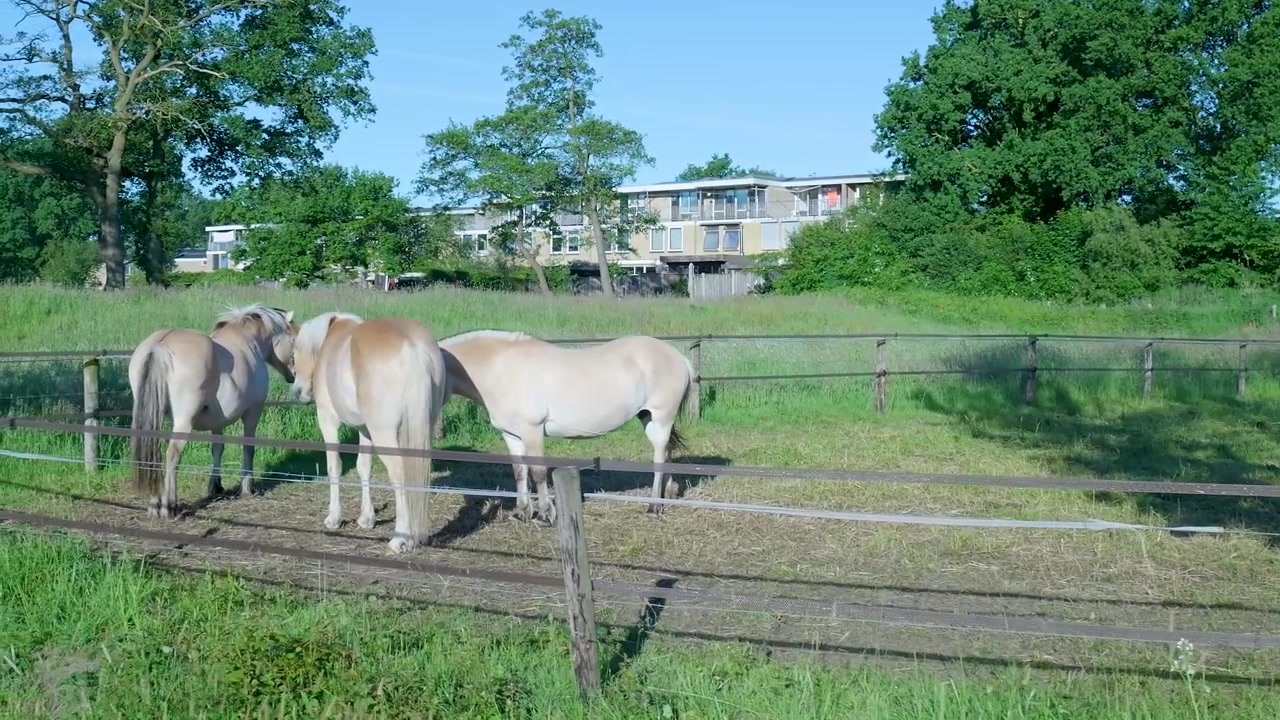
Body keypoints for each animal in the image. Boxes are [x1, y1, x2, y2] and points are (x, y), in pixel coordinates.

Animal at [129, 304, 299, 520]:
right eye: (294, 340)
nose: (295, 376)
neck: (248, 343)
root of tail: (158, 346)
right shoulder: (252, 413)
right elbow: (248, 448)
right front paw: (247, 488)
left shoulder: (217, 421)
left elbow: (217, 448)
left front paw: (216, 487)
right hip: (184, 422)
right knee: (173, 455)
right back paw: (169, 507)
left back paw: (153, 505)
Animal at [289, 311, 445, 554]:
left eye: (294, 354)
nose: (297, 392)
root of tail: (412, 348)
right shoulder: (365, 430)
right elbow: (364, 467)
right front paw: (367, 518)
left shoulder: (328, 421)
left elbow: (334, 467)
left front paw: (334, 518)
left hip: (385, 435)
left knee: (399, 476)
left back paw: (400, 539)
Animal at [437, 330, 695, 524]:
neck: (501, 369)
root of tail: (679, 358)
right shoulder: (511, 435)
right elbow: (520, 471)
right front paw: (522, 513)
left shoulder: (532, 430)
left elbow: (538, 472)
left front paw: (544, 515)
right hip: (648, 418)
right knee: (667, 453)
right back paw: (667, 497)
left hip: (661, 418)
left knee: (659, 458)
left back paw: (652, 508)